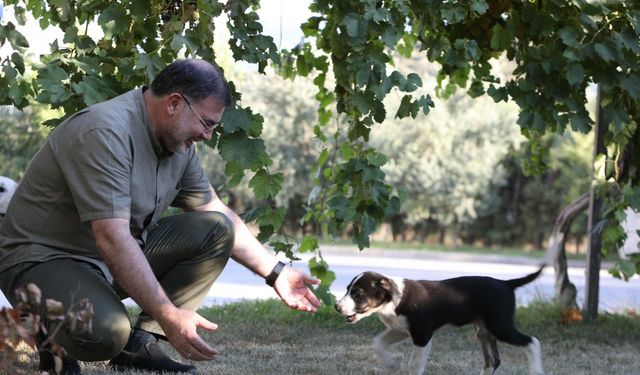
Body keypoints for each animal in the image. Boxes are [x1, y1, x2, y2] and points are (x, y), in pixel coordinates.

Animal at [336, 268, 544, 375]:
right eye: (347, 289)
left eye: (357, 293)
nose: (337, 307)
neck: (393, 299)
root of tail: (506, 283)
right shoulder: (401, 330)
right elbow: (377, 342)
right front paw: (390, 363)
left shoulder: (422, 334)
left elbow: (414, 364)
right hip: (483, 331)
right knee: (493, 361)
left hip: (499, 325)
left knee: (532, 342)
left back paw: (536, 370)